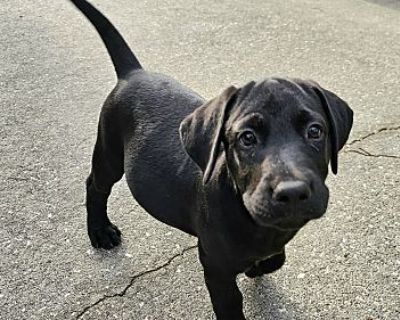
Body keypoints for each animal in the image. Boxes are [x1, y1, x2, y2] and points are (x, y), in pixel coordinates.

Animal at [69, 1, 354, 318]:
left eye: (315, 131)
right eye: (247, 138)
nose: (292, 193)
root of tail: (133, 73)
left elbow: (274, 258)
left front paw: (258, 266)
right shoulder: (216, 268)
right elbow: (230, 305)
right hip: (109, 150)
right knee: (95, 186)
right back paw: (99, 231)